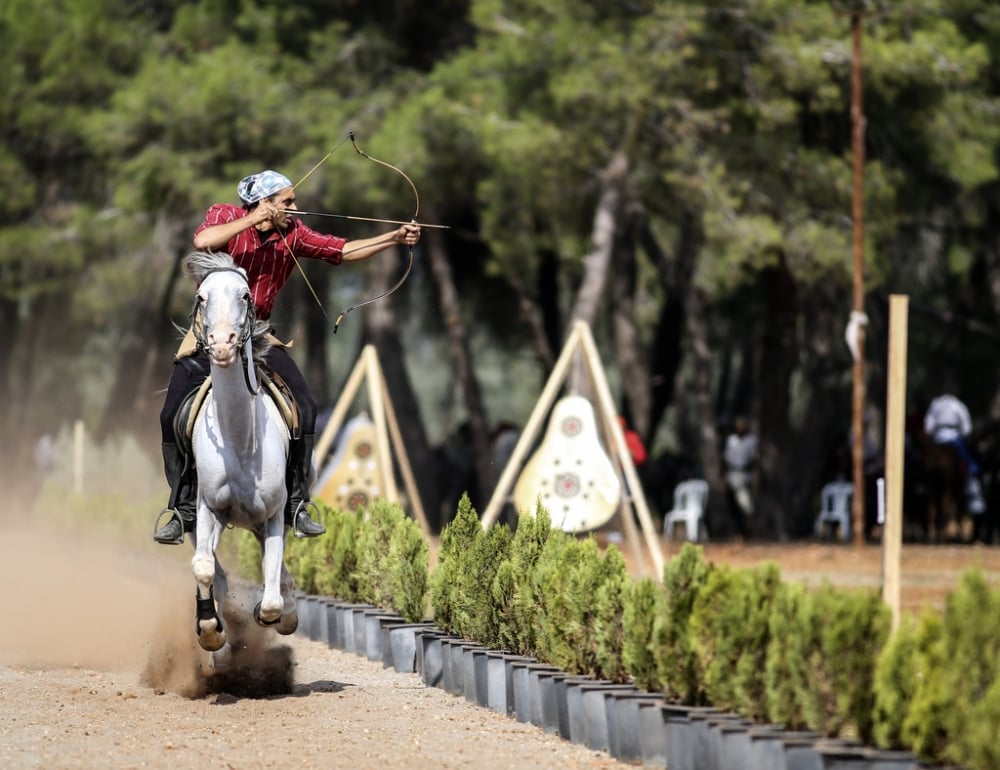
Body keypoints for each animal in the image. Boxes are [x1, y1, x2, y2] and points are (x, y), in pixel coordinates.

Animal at [184, 250, 298, 656]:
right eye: (201, 297)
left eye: (245, 295)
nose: (221, 343)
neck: (239, 439)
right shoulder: (208, 509)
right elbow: (204, 567)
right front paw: (209, 629)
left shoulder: (275, 513)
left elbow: (272, 599)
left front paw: (274, 614)